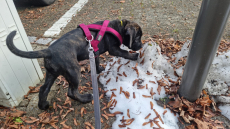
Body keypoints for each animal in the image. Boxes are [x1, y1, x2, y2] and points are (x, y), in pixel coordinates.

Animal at [6, 19, 143, 110]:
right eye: (137, 38)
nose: (141, 46)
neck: (118, 27)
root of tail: (49, 51)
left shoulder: (95, 52)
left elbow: (97, 61)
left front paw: (98, 69)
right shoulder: (114, 49)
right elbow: (125, 52)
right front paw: (135, 56)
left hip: (52, 73)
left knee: (44, 89)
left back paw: (43, 105)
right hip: (74, 71)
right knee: (71, 92)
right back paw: (85, 99)